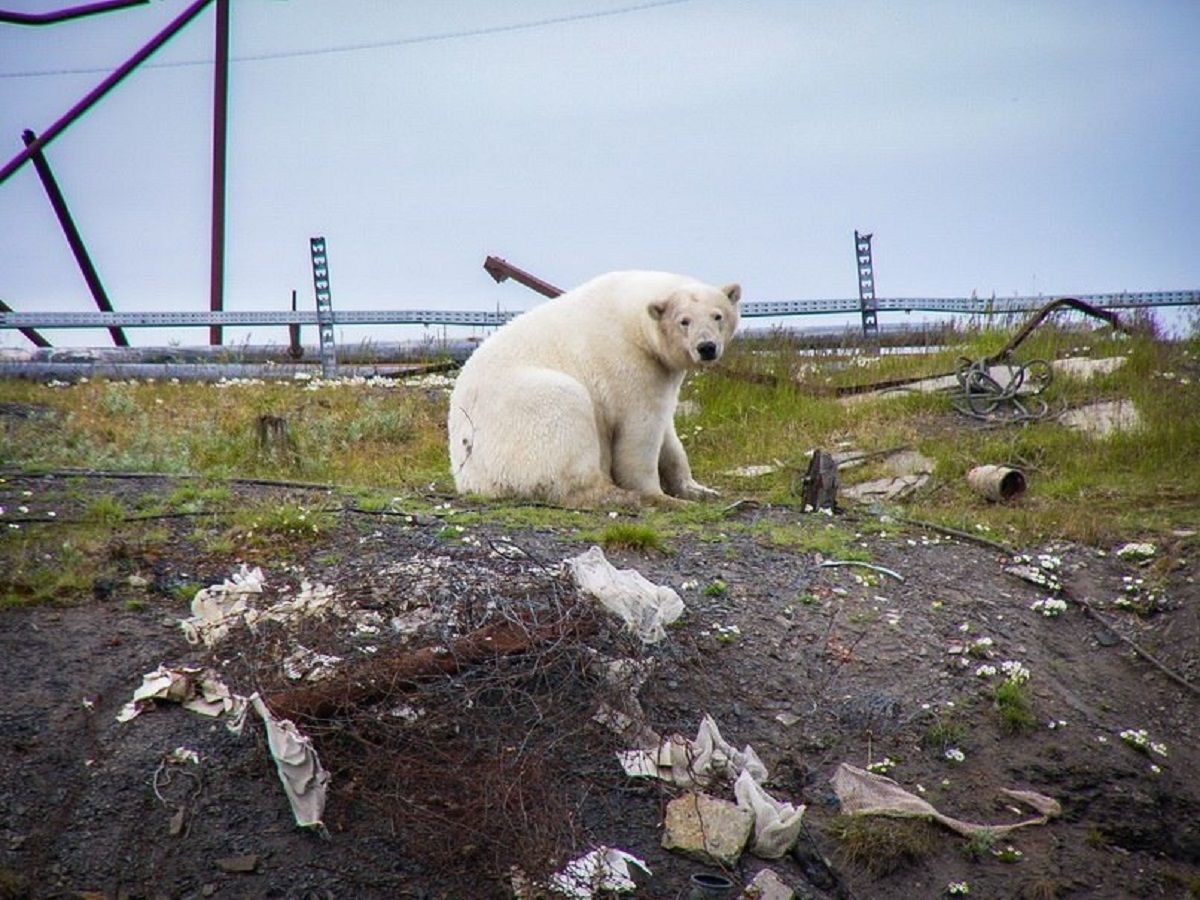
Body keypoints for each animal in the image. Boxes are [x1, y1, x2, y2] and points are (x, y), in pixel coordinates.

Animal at [446, 270, 734, 508]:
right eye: (684, 321)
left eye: (718, 315)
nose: (707, 347)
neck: (630, 318)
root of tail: (469, 477)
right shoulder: (630, 365)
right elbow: (639, 431)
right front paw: (660, 496)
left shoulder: (662, 372)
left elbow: (668, 433)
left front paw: (700, 490)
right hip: (525, 415)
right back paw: (620, 495)